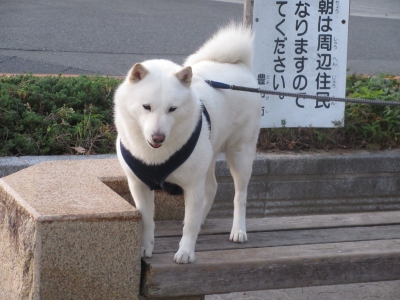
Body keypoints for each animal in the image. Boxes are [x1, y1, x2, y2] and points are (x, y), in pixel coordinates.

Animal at [114, 22, 260, 262]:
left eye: (172, 109)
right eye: (146, 107)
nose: (158, 137)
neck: (155, 157)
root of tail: (238, 65)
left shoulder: (192, 186)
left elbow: (189, 224)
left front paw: (185, 252)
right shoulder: (138, 184)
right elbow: (146, 220)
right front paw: (145, 248)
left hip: (241, 154)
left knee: (240, 195)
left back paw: (238, 230)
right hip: (209, 153)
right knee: (212, 187)